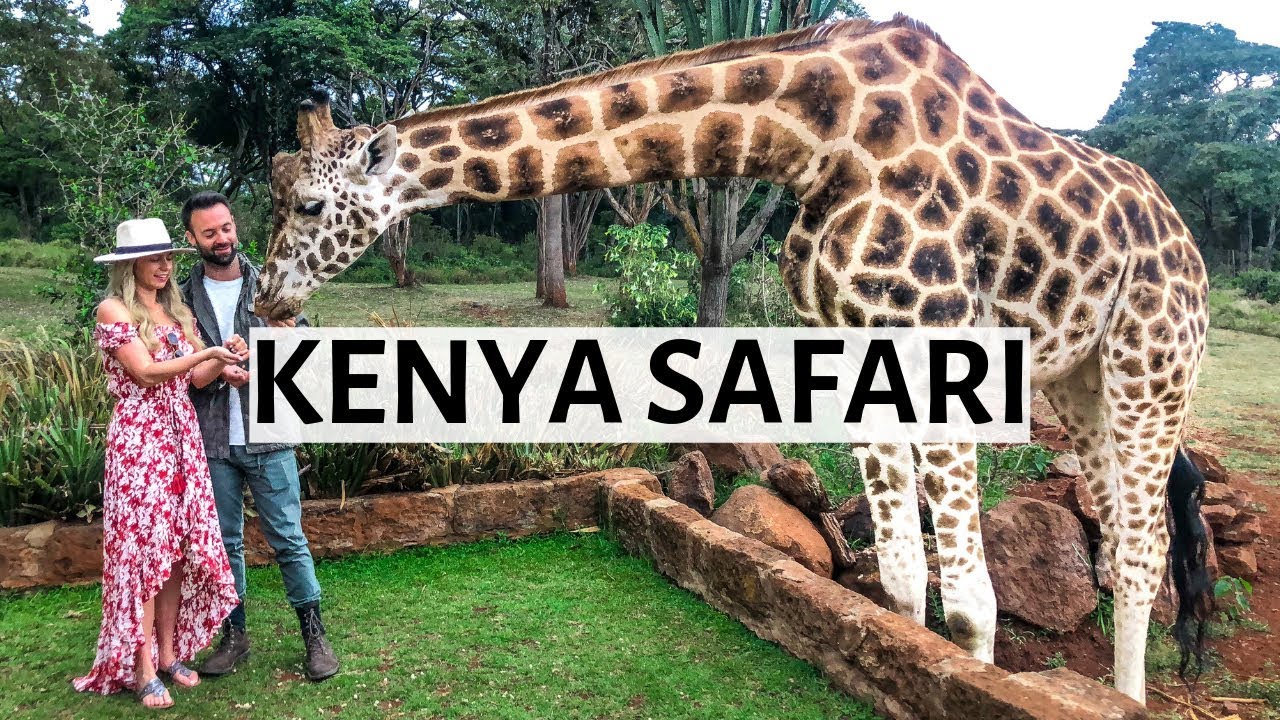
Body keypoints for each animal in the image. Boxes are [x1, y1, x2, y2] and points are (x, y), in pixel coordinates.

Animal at [253, 15, 1212, 704]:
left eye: (309, 205)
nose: (262, 295)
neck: (817, 139)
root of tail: (1185, 239)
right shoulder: (858, 340)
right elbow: (904, 582)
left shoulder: (939, 329)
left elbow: (973, 605)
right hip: (1080, 379)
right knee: (1121, 531)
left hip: (1153, 360)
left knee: (1144, 545)